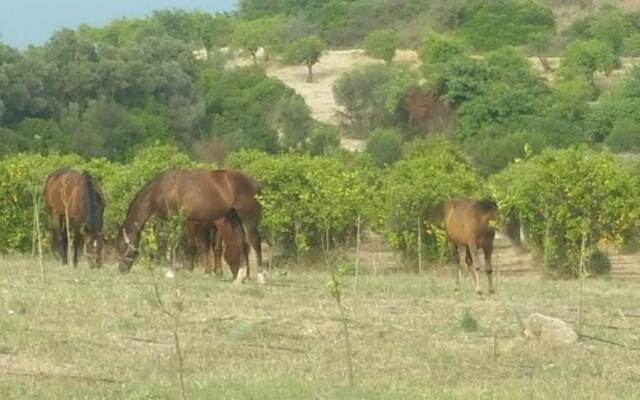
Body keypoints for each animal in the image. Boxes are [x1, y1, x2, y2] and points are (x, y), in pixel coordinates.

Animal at [117, 169, 262, 284]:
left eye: (122, 246)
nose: (121, 270)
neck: (162, 188)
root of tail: (255, 183)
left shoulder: (176, 219)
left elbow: (174, 244)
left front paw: (171, 271)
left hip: (248, 218)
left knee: (255, 242)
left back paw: (261, 278)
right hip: (235, 218)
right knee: (242, 243)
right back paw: (239, 278)